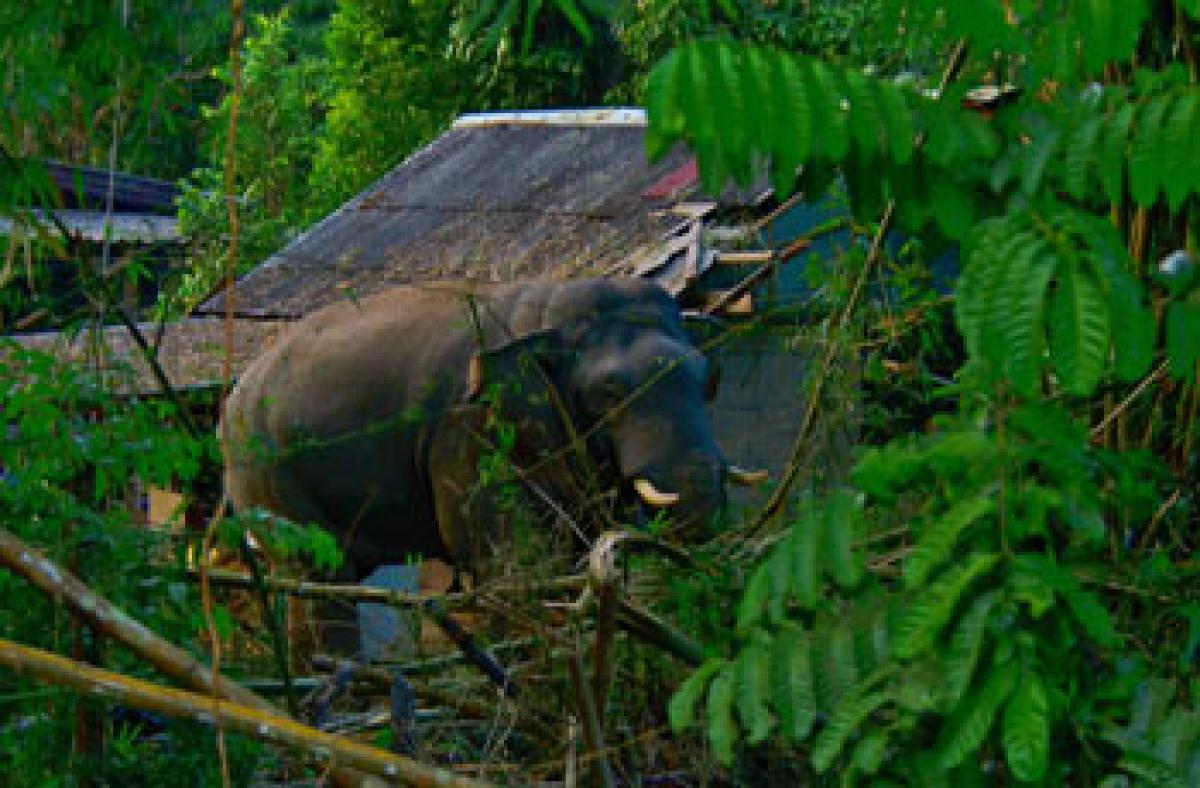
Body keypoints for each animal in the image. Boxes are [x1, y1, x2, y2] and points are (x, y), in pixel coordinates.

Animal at [220, 277, 763, 590]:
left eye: (710, 378)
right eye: (610, 390)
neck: (544, 316)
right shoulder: (465, 431)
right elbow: (495, 549)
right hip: (265, 474)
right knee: (318, 575)